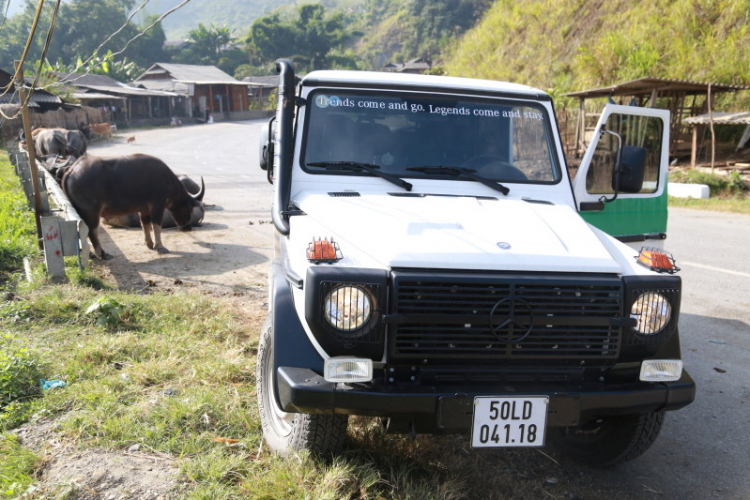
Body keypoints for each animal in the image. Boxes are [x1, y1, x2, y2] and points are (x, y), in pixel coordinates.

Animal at [62, 154, 204, 260]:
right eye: (190, 207)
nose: (188, 228)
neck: (166, 180)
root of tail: (72, 170)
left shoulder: (144, 210)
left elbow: (145, 225)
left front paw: (149, 244)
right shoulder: (157, 206)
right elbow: (156, 226)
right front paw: (160, 247)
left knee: (82, 231)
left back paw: (90, 254)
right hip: (92, 212)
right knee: (92, 231)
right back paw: (102, 254)